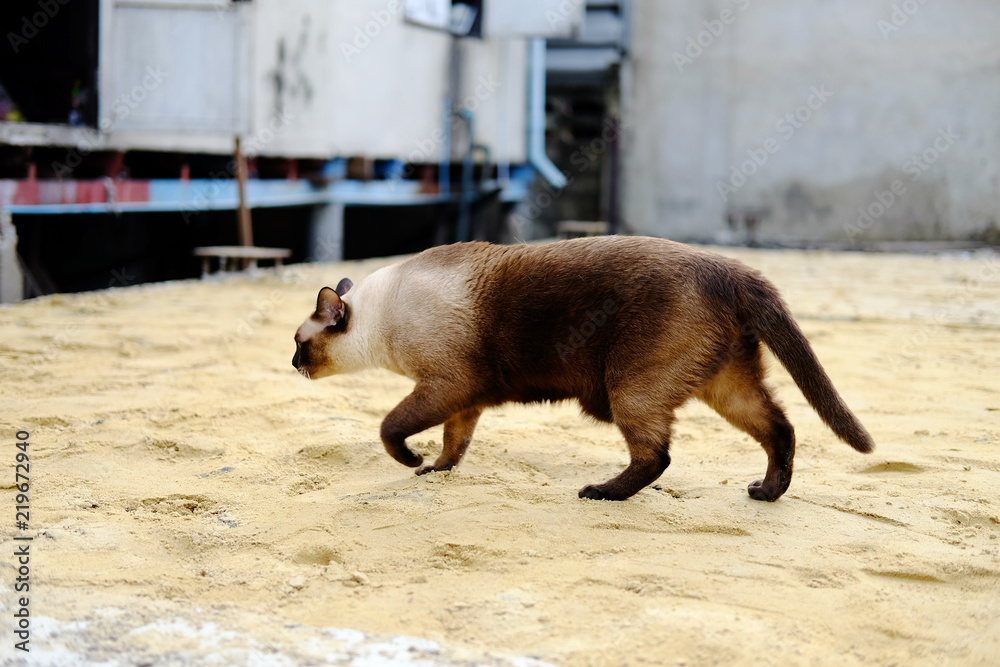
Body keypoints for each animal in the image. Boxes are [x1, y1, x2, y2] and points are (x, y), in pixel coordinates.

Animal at [290, 236, 868, 500]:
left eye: (299, 344)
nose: (292, 364)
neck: (384, 314)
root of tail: (733, 269)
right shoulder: (465, 401)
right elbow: (455, 444)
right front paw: (436, 470)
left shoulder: (445, 386)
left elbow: (392, 428)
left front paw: (413, 462)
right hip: (726, 387)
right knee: (780, 429)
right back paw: (766, 492)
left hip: (629, 389)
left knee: (657, 456)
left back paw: (601, 493)